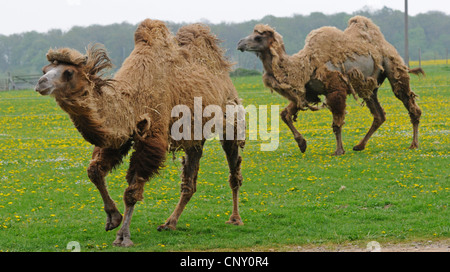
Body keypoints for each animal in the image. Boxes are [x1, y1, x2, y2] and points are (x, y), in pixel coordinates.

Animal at [35, 19, 246, 248]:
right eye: (46, 69)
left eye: (68, 72)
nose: (40, 83)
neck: (131, 99)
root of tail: (224, 72)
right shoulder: (121, 136)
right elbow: (94, 171)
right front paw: (113, 218)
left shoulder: (152, 138)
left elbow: (131, 191)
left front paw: (123, 236)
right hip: (194, 137)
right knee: (189, 182)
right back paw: (170, 223)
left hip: (231, 119)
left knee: (234, 172)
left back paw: (235, 218)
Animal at [237, 15, 424, 155]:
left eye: (258, 37)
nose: (240, 43)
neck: (305, 66)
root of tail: (387, 45)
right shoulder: (306, 93)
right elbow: (285, 114)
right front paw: (302, 144)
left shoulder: (335, 89)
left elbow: (336, 123)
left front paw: (338, 150)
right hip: (369, 85)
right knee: (379, 115)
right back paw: (359, 145)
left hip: (393, 68)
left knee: (409, 102)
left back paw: (413, 144)